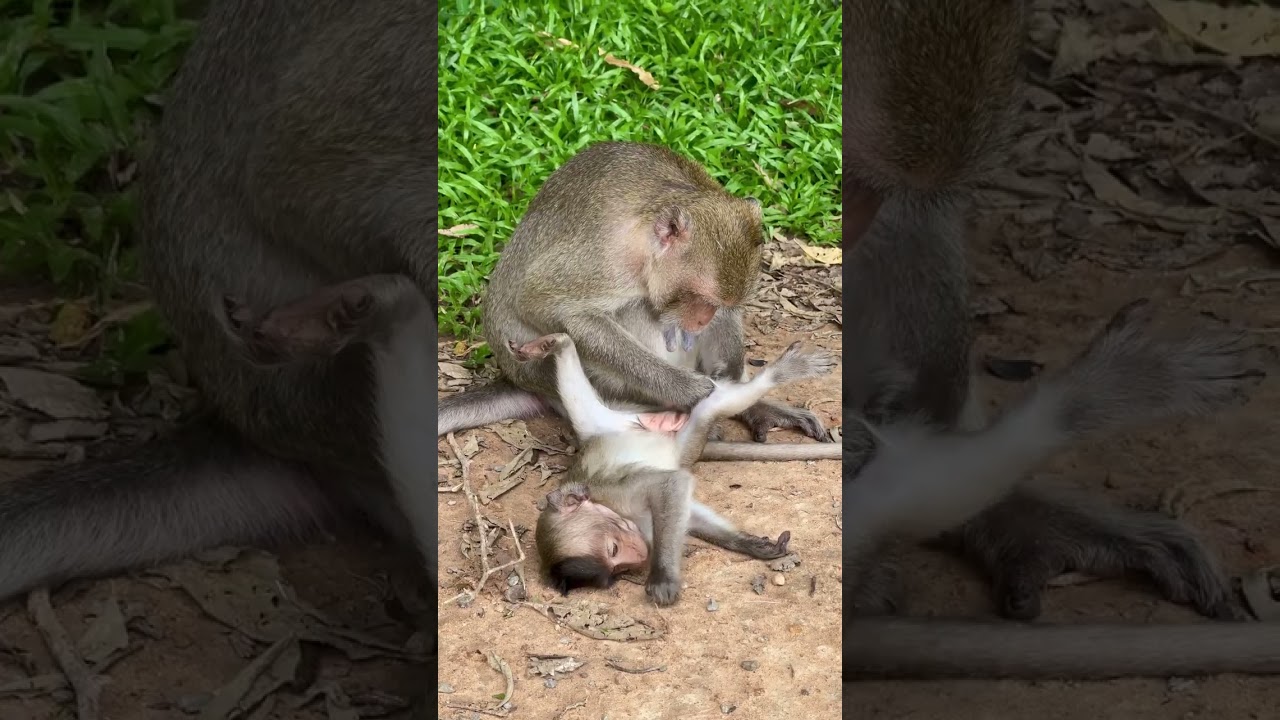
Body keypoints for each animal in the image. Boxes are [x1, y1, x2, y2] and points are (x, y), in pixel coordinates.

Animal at [437, 141, 836, 452]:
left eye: (718, 304)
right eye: (696, 298)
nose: (703, 318)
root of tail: (518, 380)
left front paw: (732, 375)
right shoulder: (606, 260)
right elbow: (547, 306)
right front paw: (690, 390)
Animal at [511, 334, 836, 606]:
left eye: (612, 550)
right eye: (617, 569)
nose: (638, 556)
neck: (618, 513)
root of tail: (614, 428)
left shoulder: (618, 493)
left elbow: (670, 484)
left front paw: (663, 576)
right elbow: (687, 508)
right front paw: (750, 544)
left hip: (619, 423)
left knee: (712, 406)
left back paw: (784, 370)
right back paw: (557, 343)